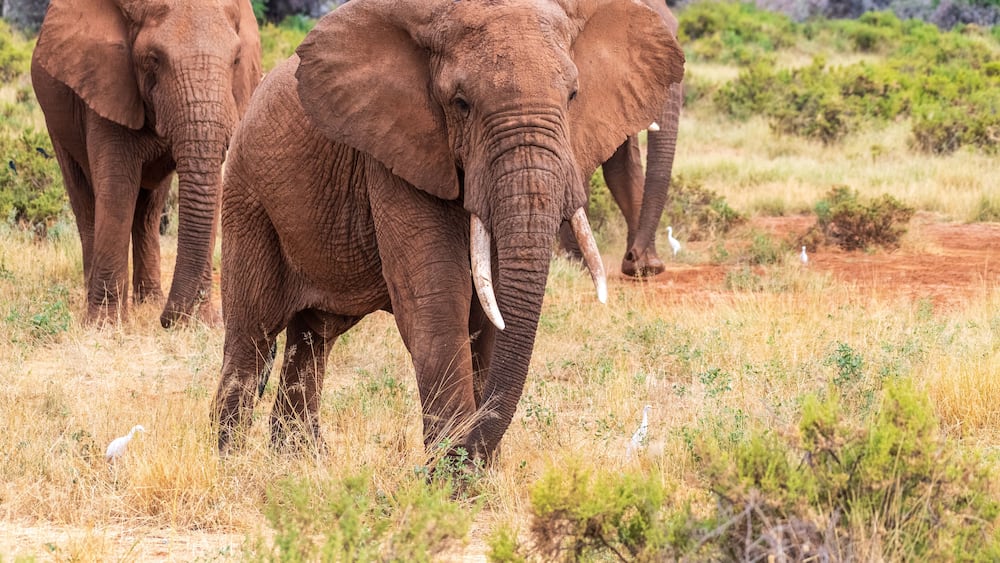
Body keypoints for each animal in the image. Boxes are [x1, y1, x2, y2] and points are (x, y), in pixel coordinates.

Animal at [30, 0, 262, 327]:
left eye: (236, 59)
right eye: (153, 59)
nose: (167, 322)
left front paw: (202, 322)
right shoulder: (106, 84)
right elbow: (117, 191)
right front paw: (105, 326)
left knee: (149, 210)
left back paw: (149, 301)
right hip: (55, 119)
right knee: (84, 200)